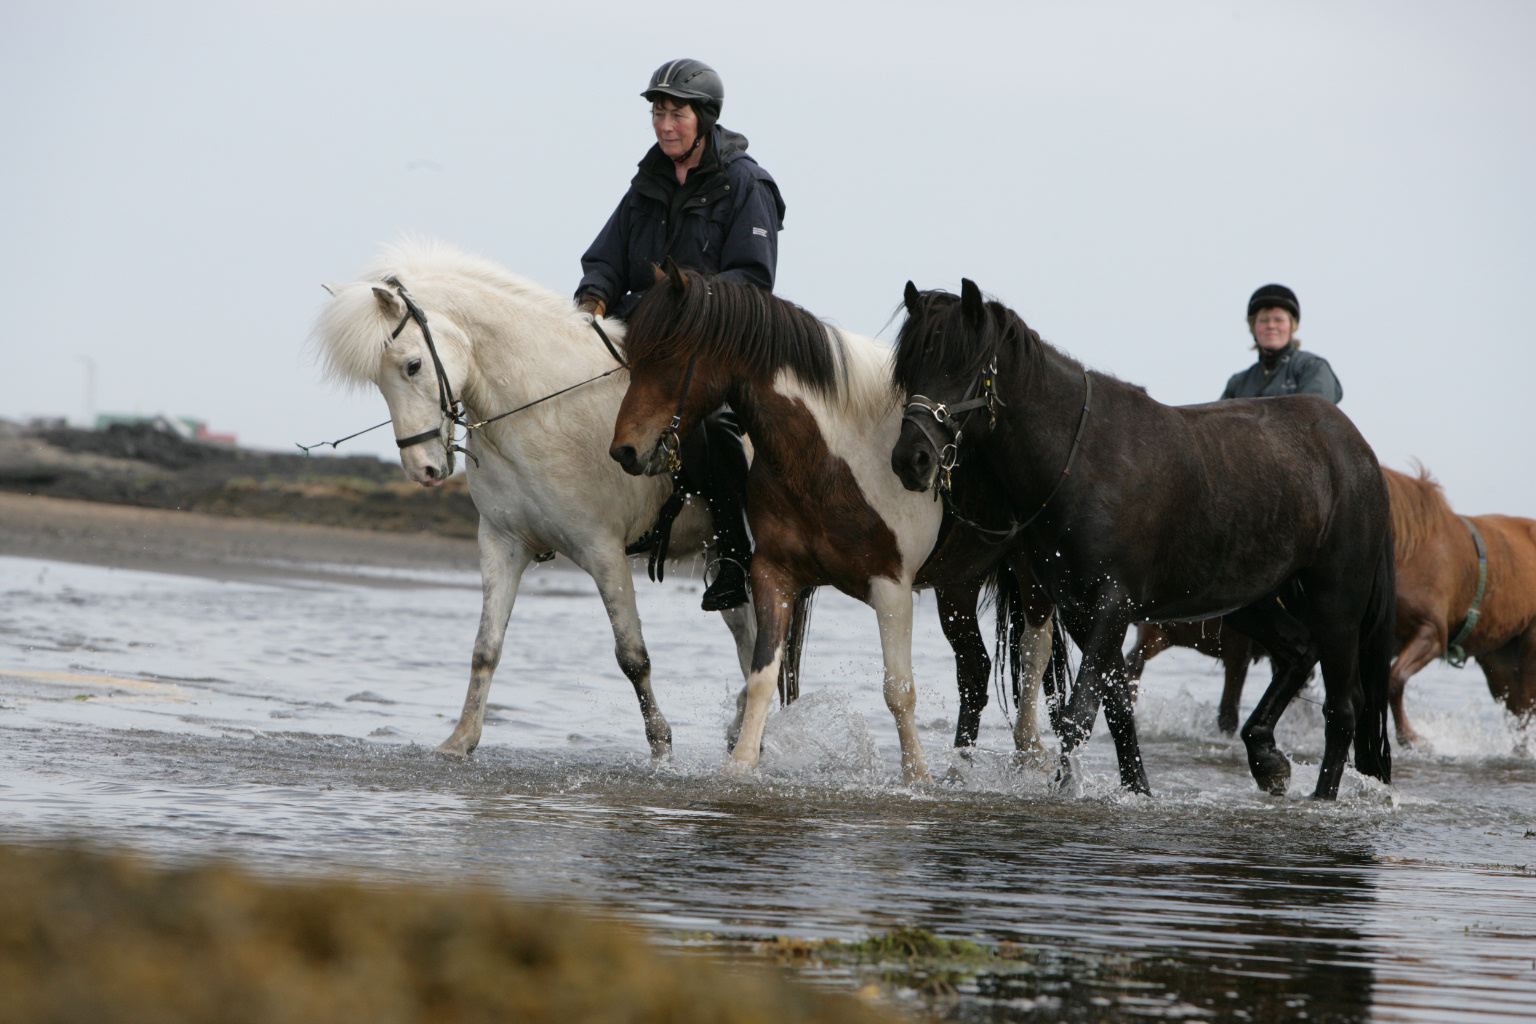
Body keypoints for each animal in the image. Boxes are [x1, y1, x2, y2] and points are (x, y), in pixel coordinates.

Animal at [310, 239, 812, 758]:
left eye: (413, 365)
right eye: (378, 379)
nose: (422, 470)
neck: (542, 410)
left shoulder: (603, 550)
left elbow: (633, 656)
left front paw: (661, 749)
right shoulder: (502, 543)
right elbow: (485, 647)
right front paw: (460, 740)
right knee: (748, 637)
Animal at [606, 262, 1054, 784]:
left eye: (667, 355)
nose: (625, 450)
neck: (830, 457)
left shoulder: (891, 588)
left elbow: (898, 690)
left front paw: (916, 779)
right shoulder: (774, 575)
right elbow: (764, 676)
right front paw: (741, 765)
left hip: (1031, 577)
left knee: (1034, 651)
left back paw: (1030, 754)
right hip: (956, 586)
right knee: (975, 670)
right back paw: (960, 770)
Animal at [890, 280, 1396, 799]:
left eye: (962, 366)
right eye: (910, 367)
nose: (912, 459)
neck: (1081, 461)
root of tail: (1357, 452)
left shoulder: (1112, 603)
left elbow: (1079, 711)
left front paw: (1066, 789)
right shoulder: (1081, 610)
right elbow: (1115, 705)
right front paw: (1137, 789)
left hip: (1337, 602)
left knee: (1343, 707)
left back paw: (1322, 795)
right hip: (1250, 600)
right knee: (1298, 651)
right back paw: (1266, 757)